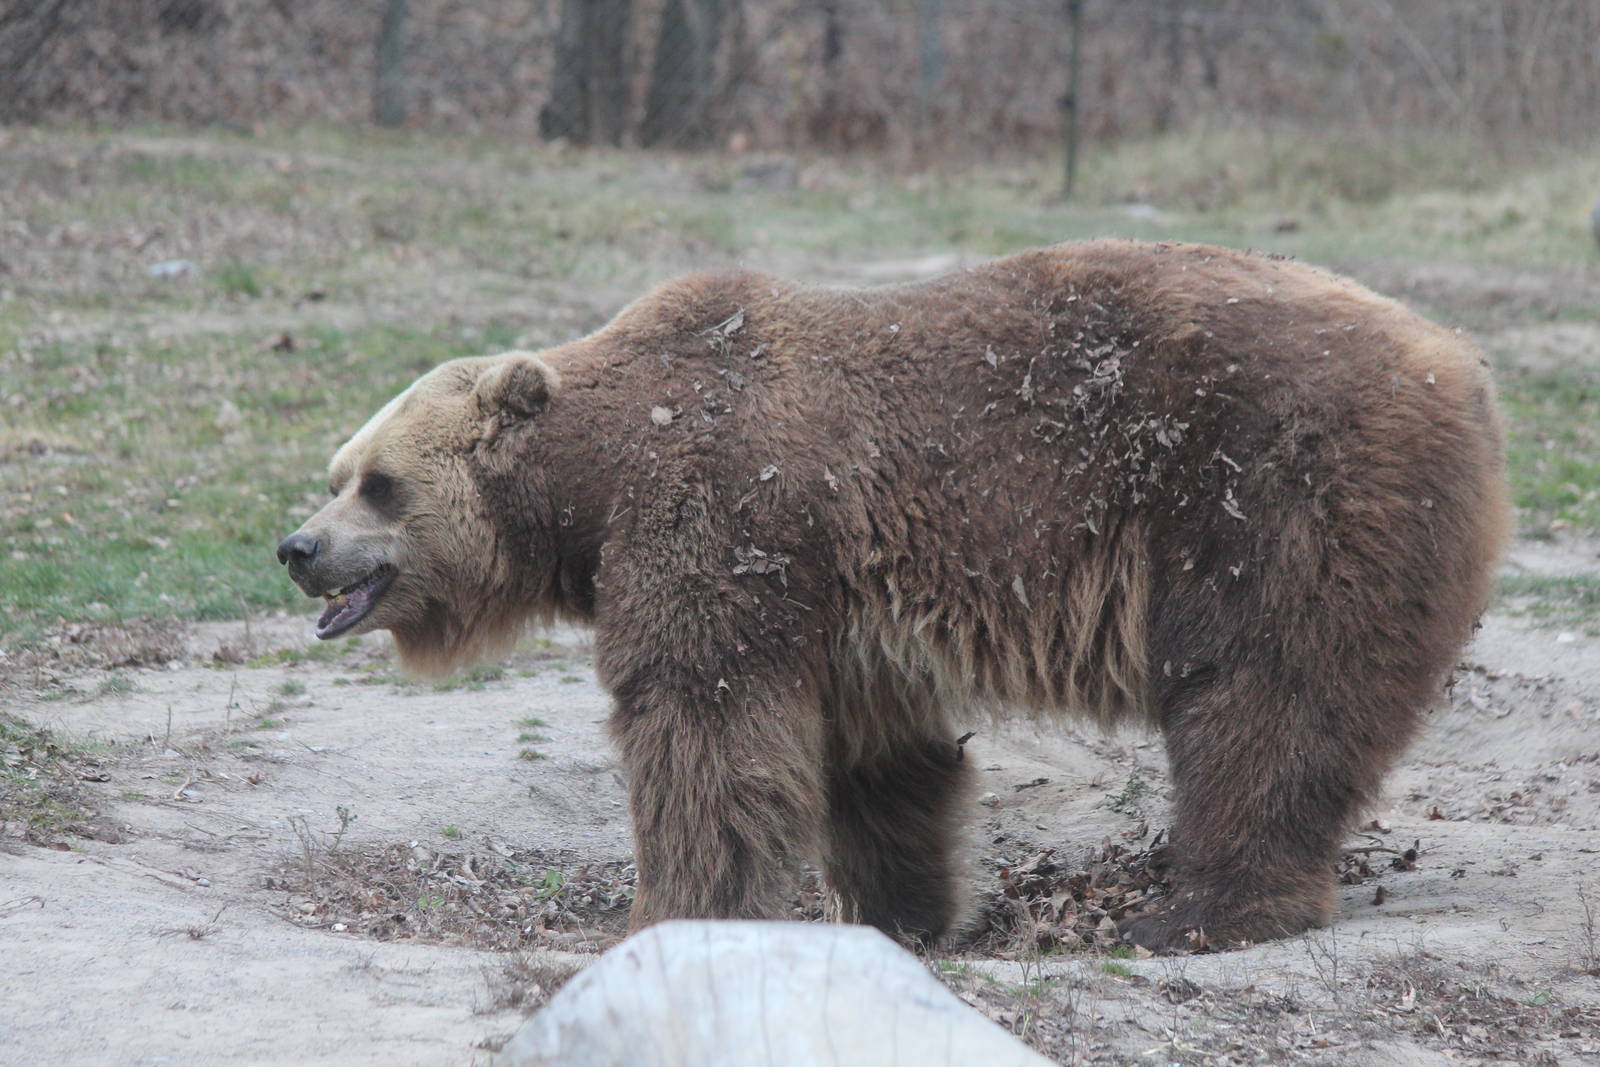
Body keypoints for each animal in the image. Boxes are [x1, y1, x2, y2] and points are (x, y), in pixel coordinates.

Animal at [276, 240, 1510, 951]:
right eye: (338, 469)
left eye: (379, 482)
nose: (298, 545)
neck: (591, 484)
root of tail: (1459, 363)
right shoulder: (844, 599)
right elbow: (878, 763)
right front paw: (902, 909)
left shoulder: (719, 513)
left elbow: (702, 720)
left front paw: (672, 907)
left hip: (1275, 491)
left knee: (1260, 696)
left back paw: (1202, 906)